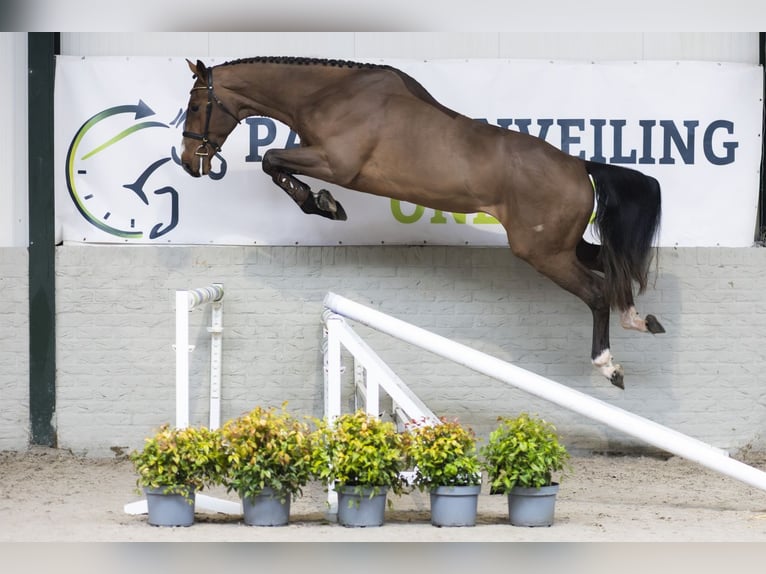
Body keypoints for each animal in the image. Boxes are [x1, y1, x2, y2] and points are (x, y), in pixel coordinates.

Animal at [180, 56, 664, 390]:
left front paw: (323, 204)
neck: (328, 95)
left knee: (597, 291)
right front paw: (323, 203)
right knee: (613, 264)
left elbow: (270, 159)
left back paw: (609, 364)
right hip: (558, 246)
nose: (188, 162)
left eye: (198, 104)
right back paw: (639, 321)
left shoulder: (336, 164)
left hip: (541, 251)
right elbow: (273, 161)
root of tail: (581, 166)